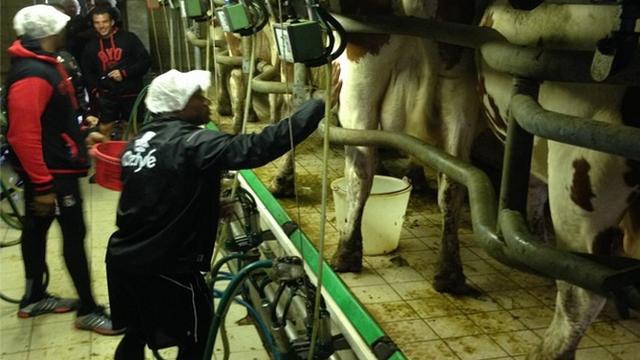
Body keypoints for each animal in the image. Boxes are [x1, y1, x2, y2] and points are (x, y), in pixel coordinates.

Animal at [332, 0, 636, 358]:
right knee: (452, 184)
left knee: (361, 168)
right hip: (460, 97)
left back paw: (347, 253)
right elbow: (532, 197)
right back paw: (449, 274)